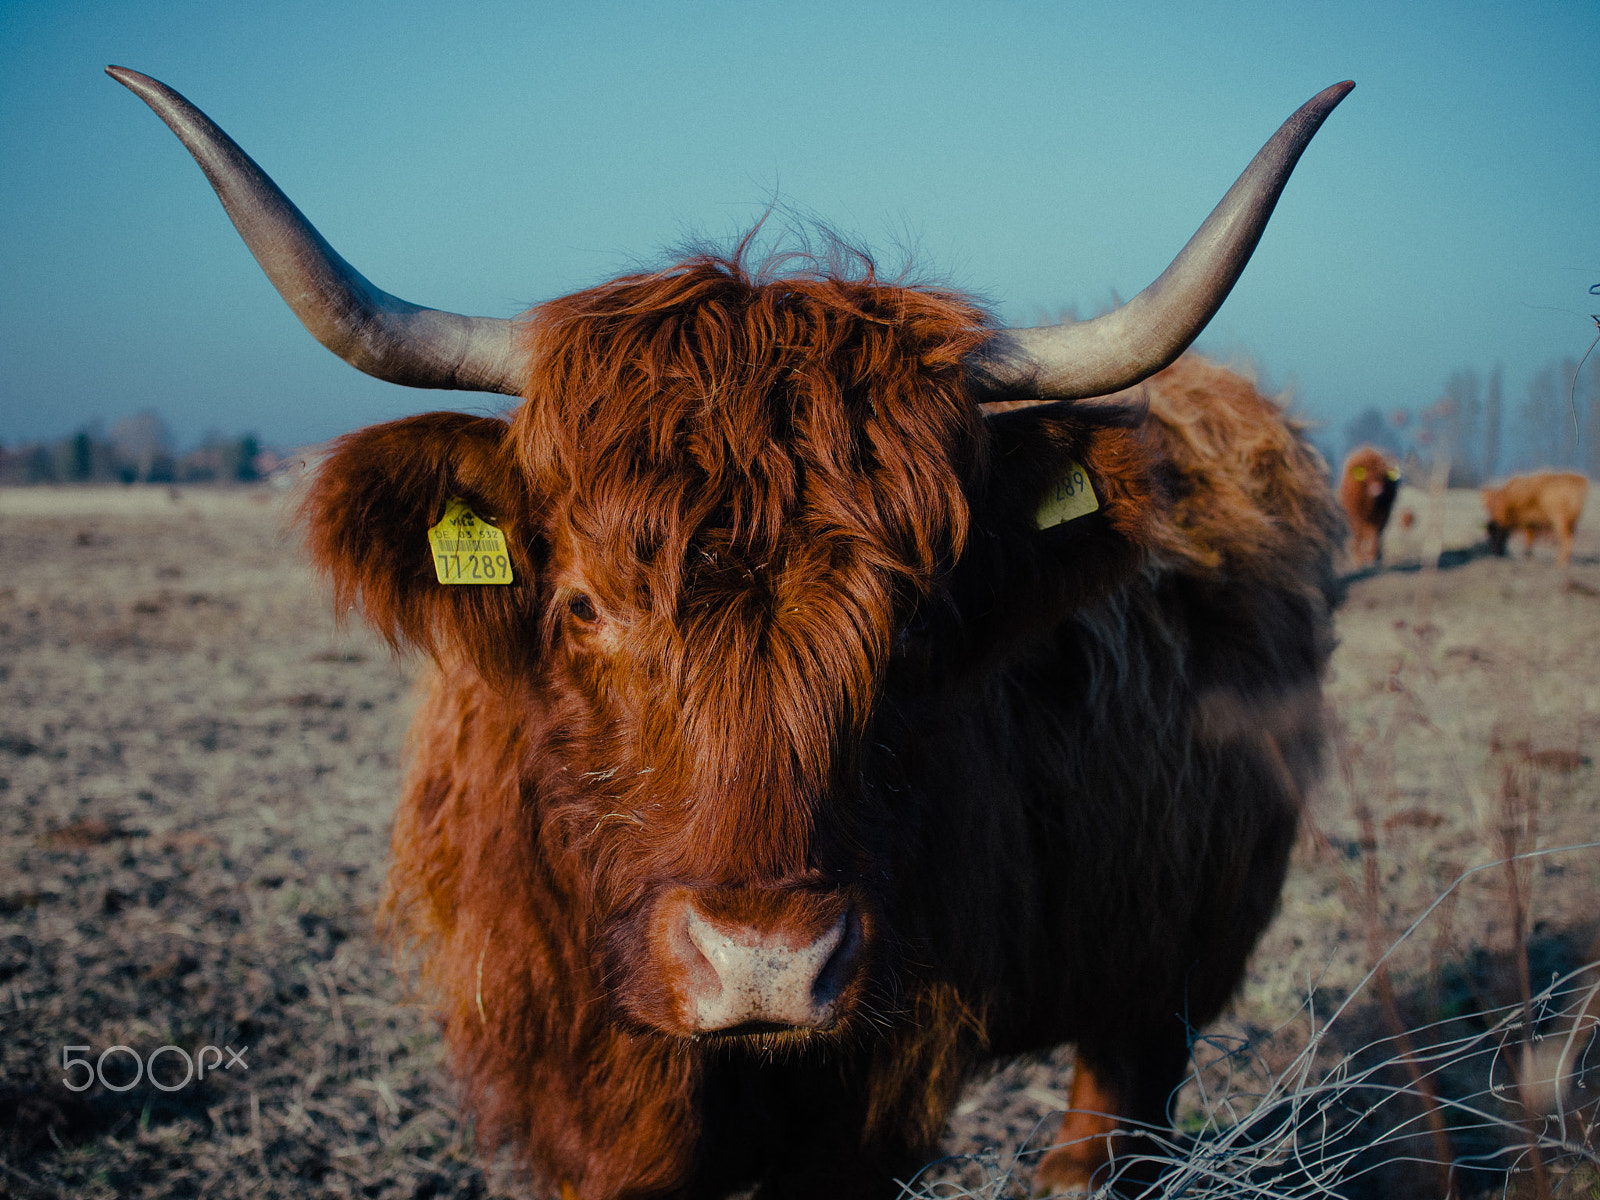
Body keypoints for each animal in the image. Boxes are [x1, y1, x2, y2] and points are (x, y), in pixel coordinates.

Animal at [112, 68, 1356, 1200]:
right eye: (586, 607)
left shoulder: (871, 1101)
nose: (766, 965)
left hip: (1178, 953)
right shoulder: (575, 1090)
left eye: (920, 616)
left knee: (1112, 1114)